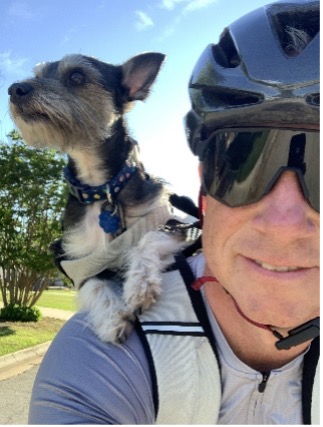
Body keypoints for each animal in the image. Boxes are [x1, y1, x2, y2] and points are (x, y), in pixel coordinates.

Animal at [8, 51, 195, 342]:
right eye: (38, 75)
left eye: (76, 76)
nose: (15, 89)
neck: (101, 190)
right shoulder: (74, 261)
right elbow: (94, 284)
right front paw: (112, 318)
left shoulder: (175, 226)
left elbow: (147, 240)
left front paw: (139, 285)